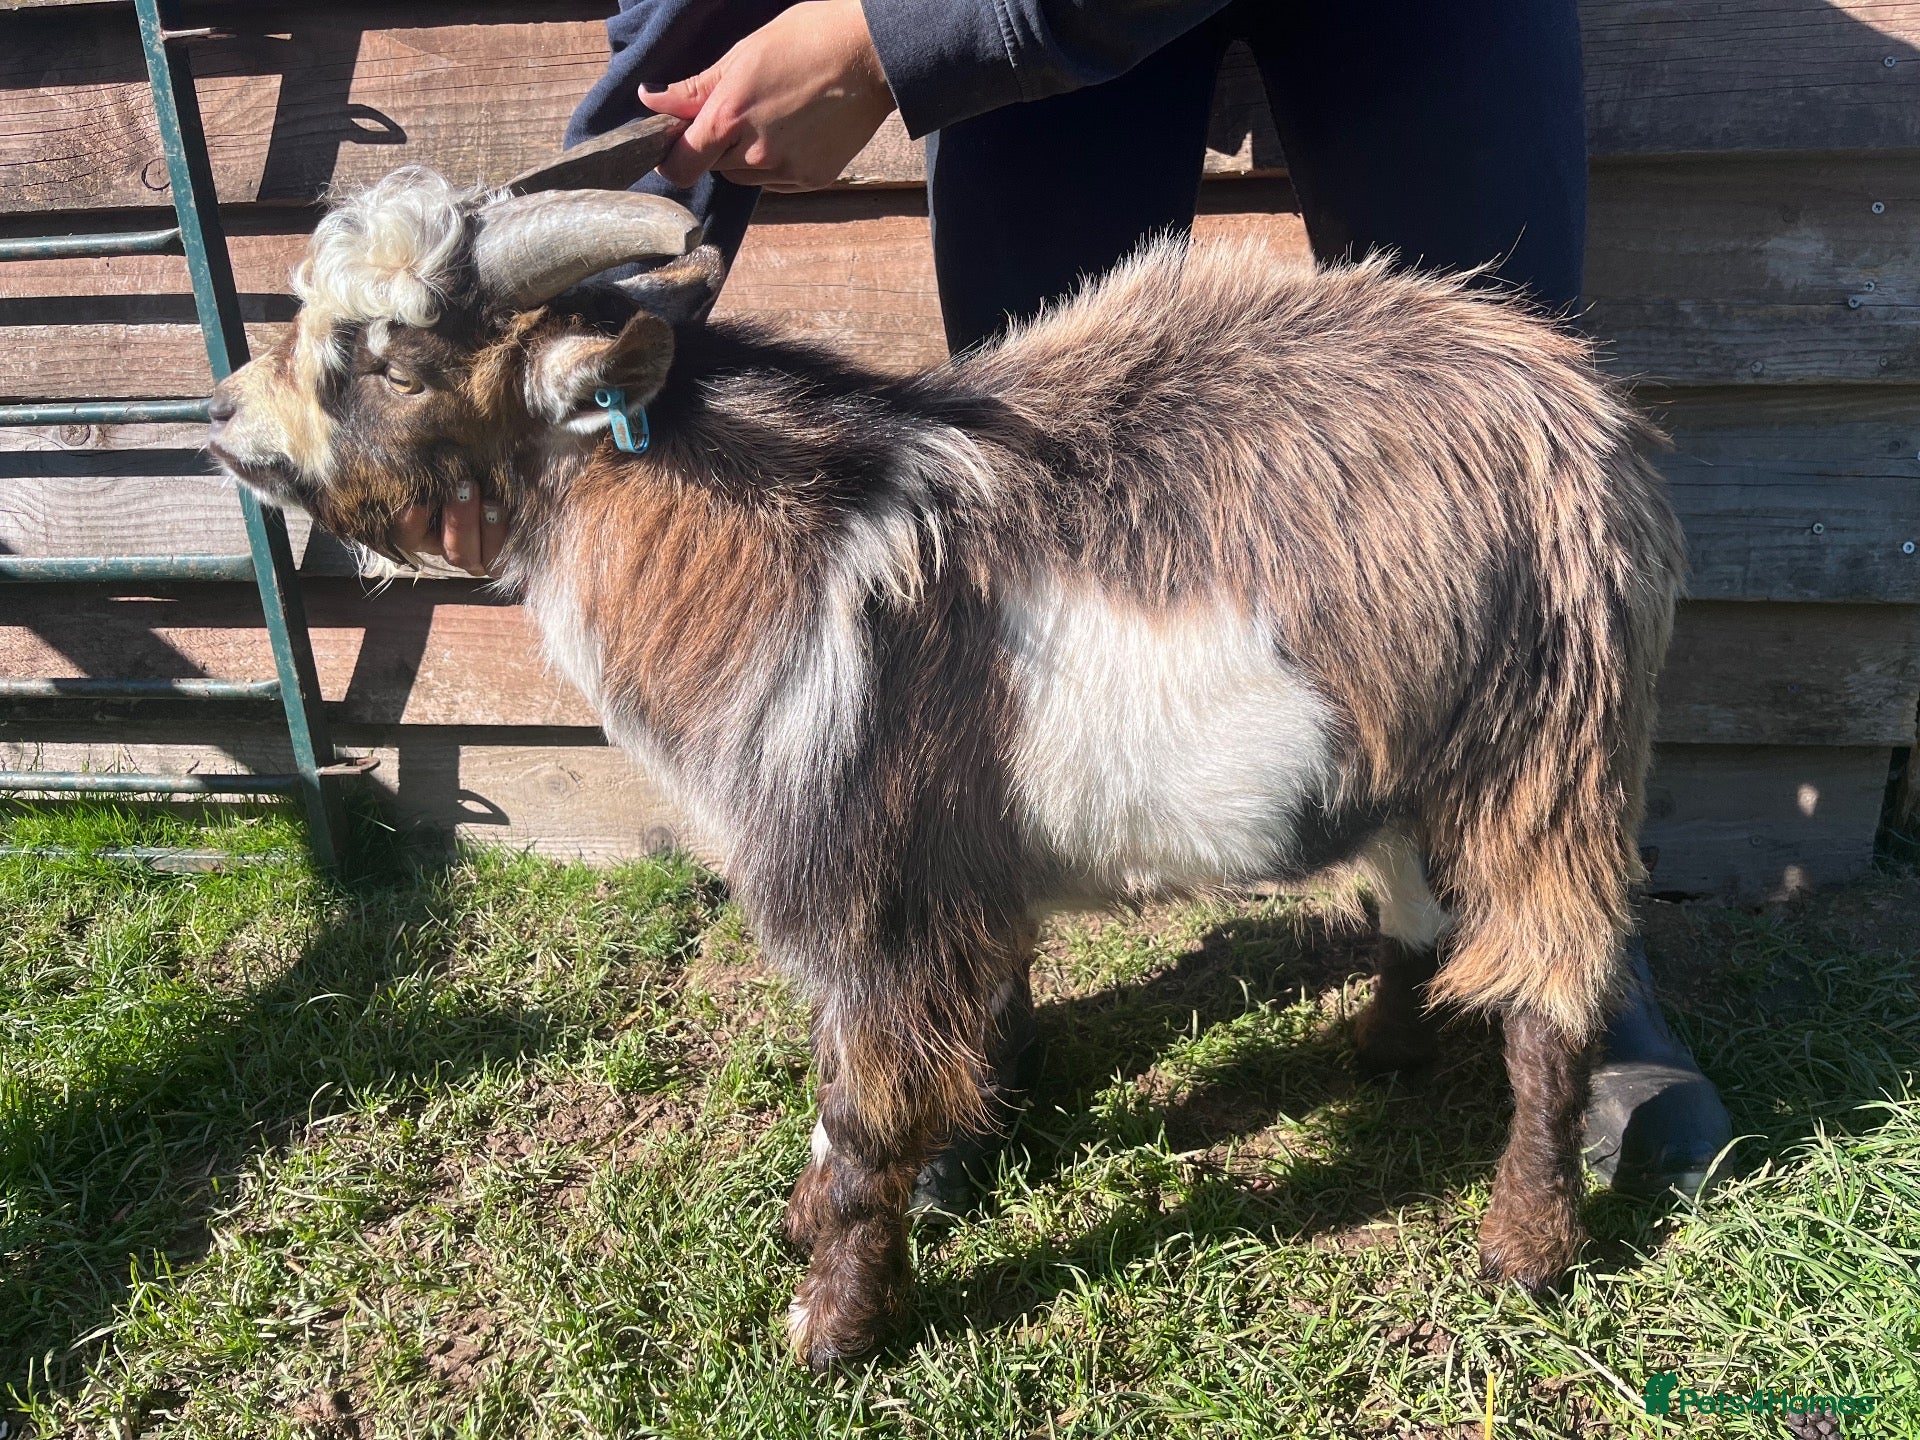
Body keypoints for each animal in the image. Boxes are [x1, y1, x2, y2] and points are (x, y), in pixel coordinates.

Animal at [208, 167, 1686, 1368]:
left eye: (396, 366)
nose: (225, 417)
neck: (771, 544)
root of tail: (1576, 408)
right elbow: (842, 1084)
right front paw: (809, 1226)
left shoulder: (874, 878)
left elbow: (865, 1107)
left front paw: (831, 1326)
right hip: (1399, 757)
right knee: (1417, 905)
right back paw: (1385, 1047)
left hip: (1546, 743)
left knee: (1553, 988)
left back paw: (1525, 1246)